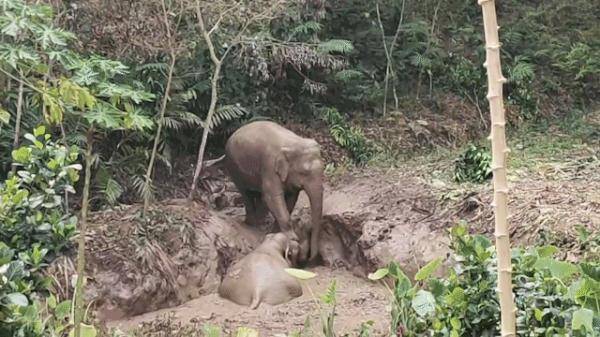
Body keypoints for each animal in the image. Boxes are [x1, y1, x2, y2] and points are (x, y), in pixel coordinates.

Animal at [206, 121, 324, 262]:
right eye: (304, 173)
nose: (310, 258)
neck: (293, 142)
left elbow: (290, 198)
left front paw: (275, 231)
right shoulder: (269, 166)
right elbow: (273, 197)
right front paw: (292, 237)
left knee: (257, 194)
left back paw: (261, 222)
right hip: (234, 167)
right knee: (246, 193)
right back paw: (252, 224)